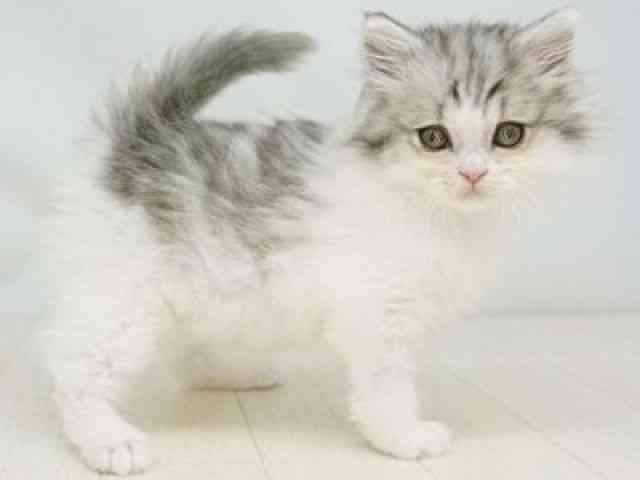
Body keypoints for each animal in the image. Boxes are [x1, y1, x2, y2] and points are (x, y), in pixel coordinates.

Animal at [43, 8, 591, 475]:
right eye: (434, 137)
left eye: (508, 134)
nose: (473, 174)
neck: (439, 215)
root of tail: (134, 138)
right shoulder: (377, 315)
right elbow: (387, 389)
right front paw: (404, 438)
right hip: (124, 299)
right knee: (70, 366)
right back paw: (110, 441)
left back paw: (233, 373)